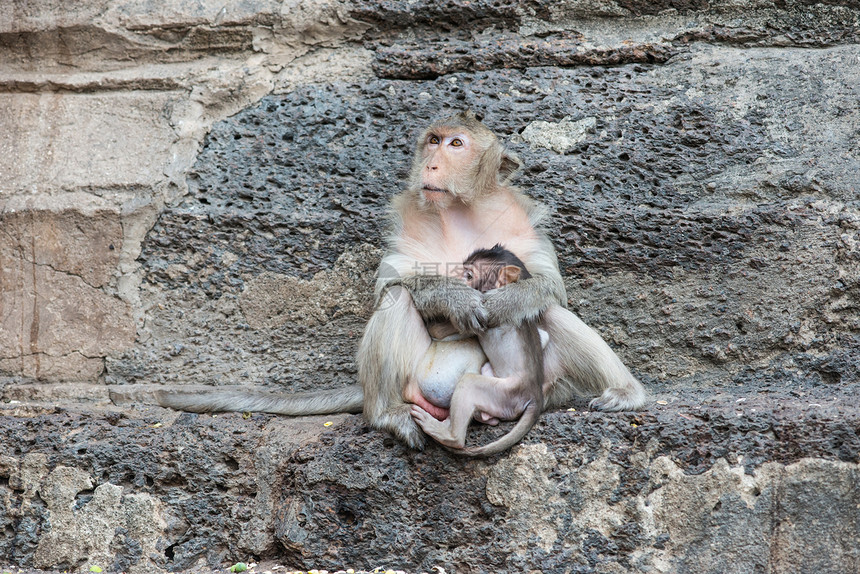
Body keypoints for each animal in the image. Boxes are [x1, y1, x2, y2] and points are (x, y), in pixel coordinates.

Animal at [412, 245, 544, 456]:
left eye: (468, 275)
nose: (457, 281)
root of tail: (536, 397)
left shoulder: (486, 310)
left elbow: (437, 331)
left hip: (506, 394)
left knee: (469, 385)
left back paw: (446, 434)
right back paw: (483, 418)